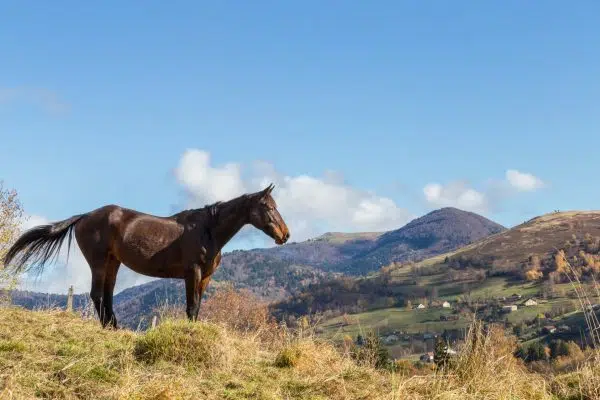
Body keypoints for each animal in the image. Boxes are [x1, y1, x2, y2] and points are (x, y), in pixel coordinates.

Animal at [2, 184, 288, 328]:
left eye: (276, 206)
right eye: (267, 207)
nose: (285, 235)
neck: (207, 230)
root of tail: (84, 216)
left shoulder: (205, 277)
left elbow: (197, 307)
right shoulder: (192, 273)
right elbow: (191, 306)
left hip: (113, 262)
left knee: (107, 294)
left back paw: (113, 326)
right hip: (98, 261)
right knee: (97, 295)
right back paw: (109, 327)